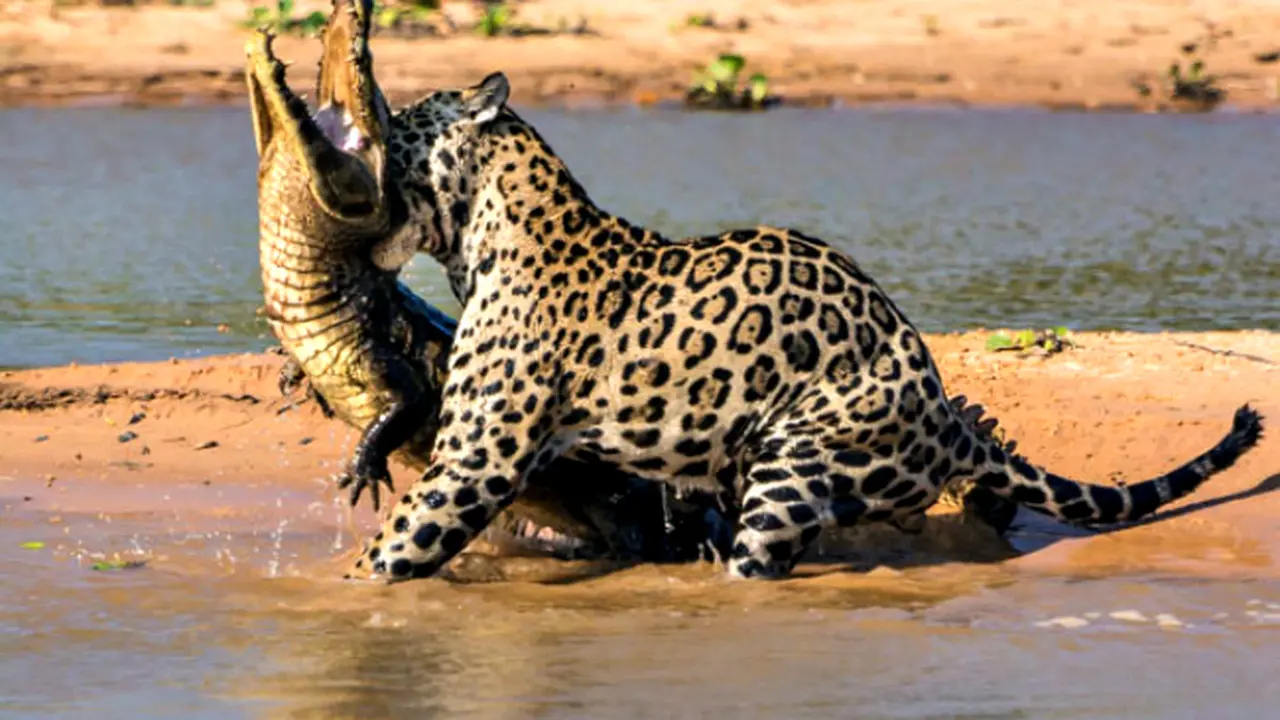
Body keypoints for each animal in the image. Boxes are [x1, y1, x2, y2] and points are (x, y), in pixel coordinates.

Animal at [343, 70, 1262, 582]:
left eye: (402, 125)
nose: (359, 139)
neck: (486, 233)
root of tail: (944, 416)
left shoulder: (479, 459)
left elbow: (398, 547)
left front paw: (347, 589)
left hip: (797, 460)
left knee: (762, 558)